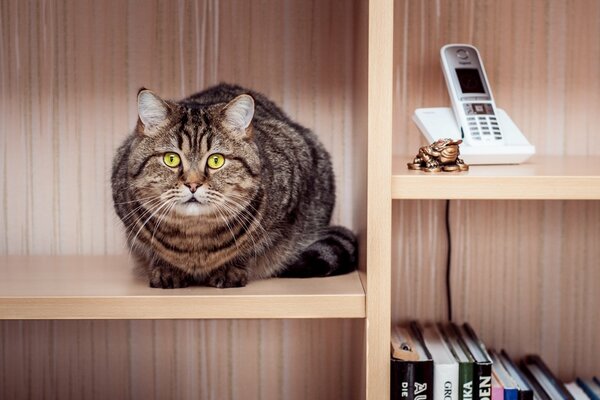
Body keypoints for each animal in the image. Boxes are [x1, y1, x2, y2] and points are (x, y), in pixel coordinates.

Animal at [112, 84, 356, 290]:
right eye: (171, 159)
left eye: (216, 160)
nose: (193, 184)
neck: (195, 240)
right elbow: (155, 251)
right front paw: (167, 269)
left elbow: (250, 249)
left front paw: (229, 270)